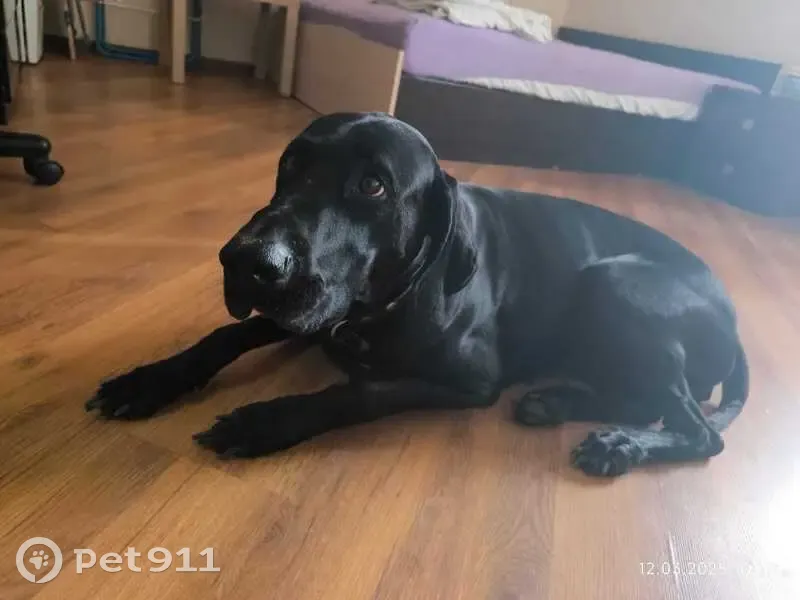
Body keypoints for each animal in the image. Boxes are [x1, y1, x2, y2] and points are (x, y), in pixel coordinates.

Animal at [86, 112, 749, 477]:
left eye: (372, 185)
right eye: (290, 166)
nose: (245, 260)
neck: (379, 303)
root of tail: (734, 321)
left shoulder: (470, 381)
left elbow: (362, 390)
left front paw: (267, 420)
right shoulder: (311, 310)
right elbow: (225, 334)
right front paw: (149, 380)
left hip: (615, 282)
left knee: (701, 432)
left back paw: (617, 444)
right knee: (644, 401)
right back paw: (559, 404)